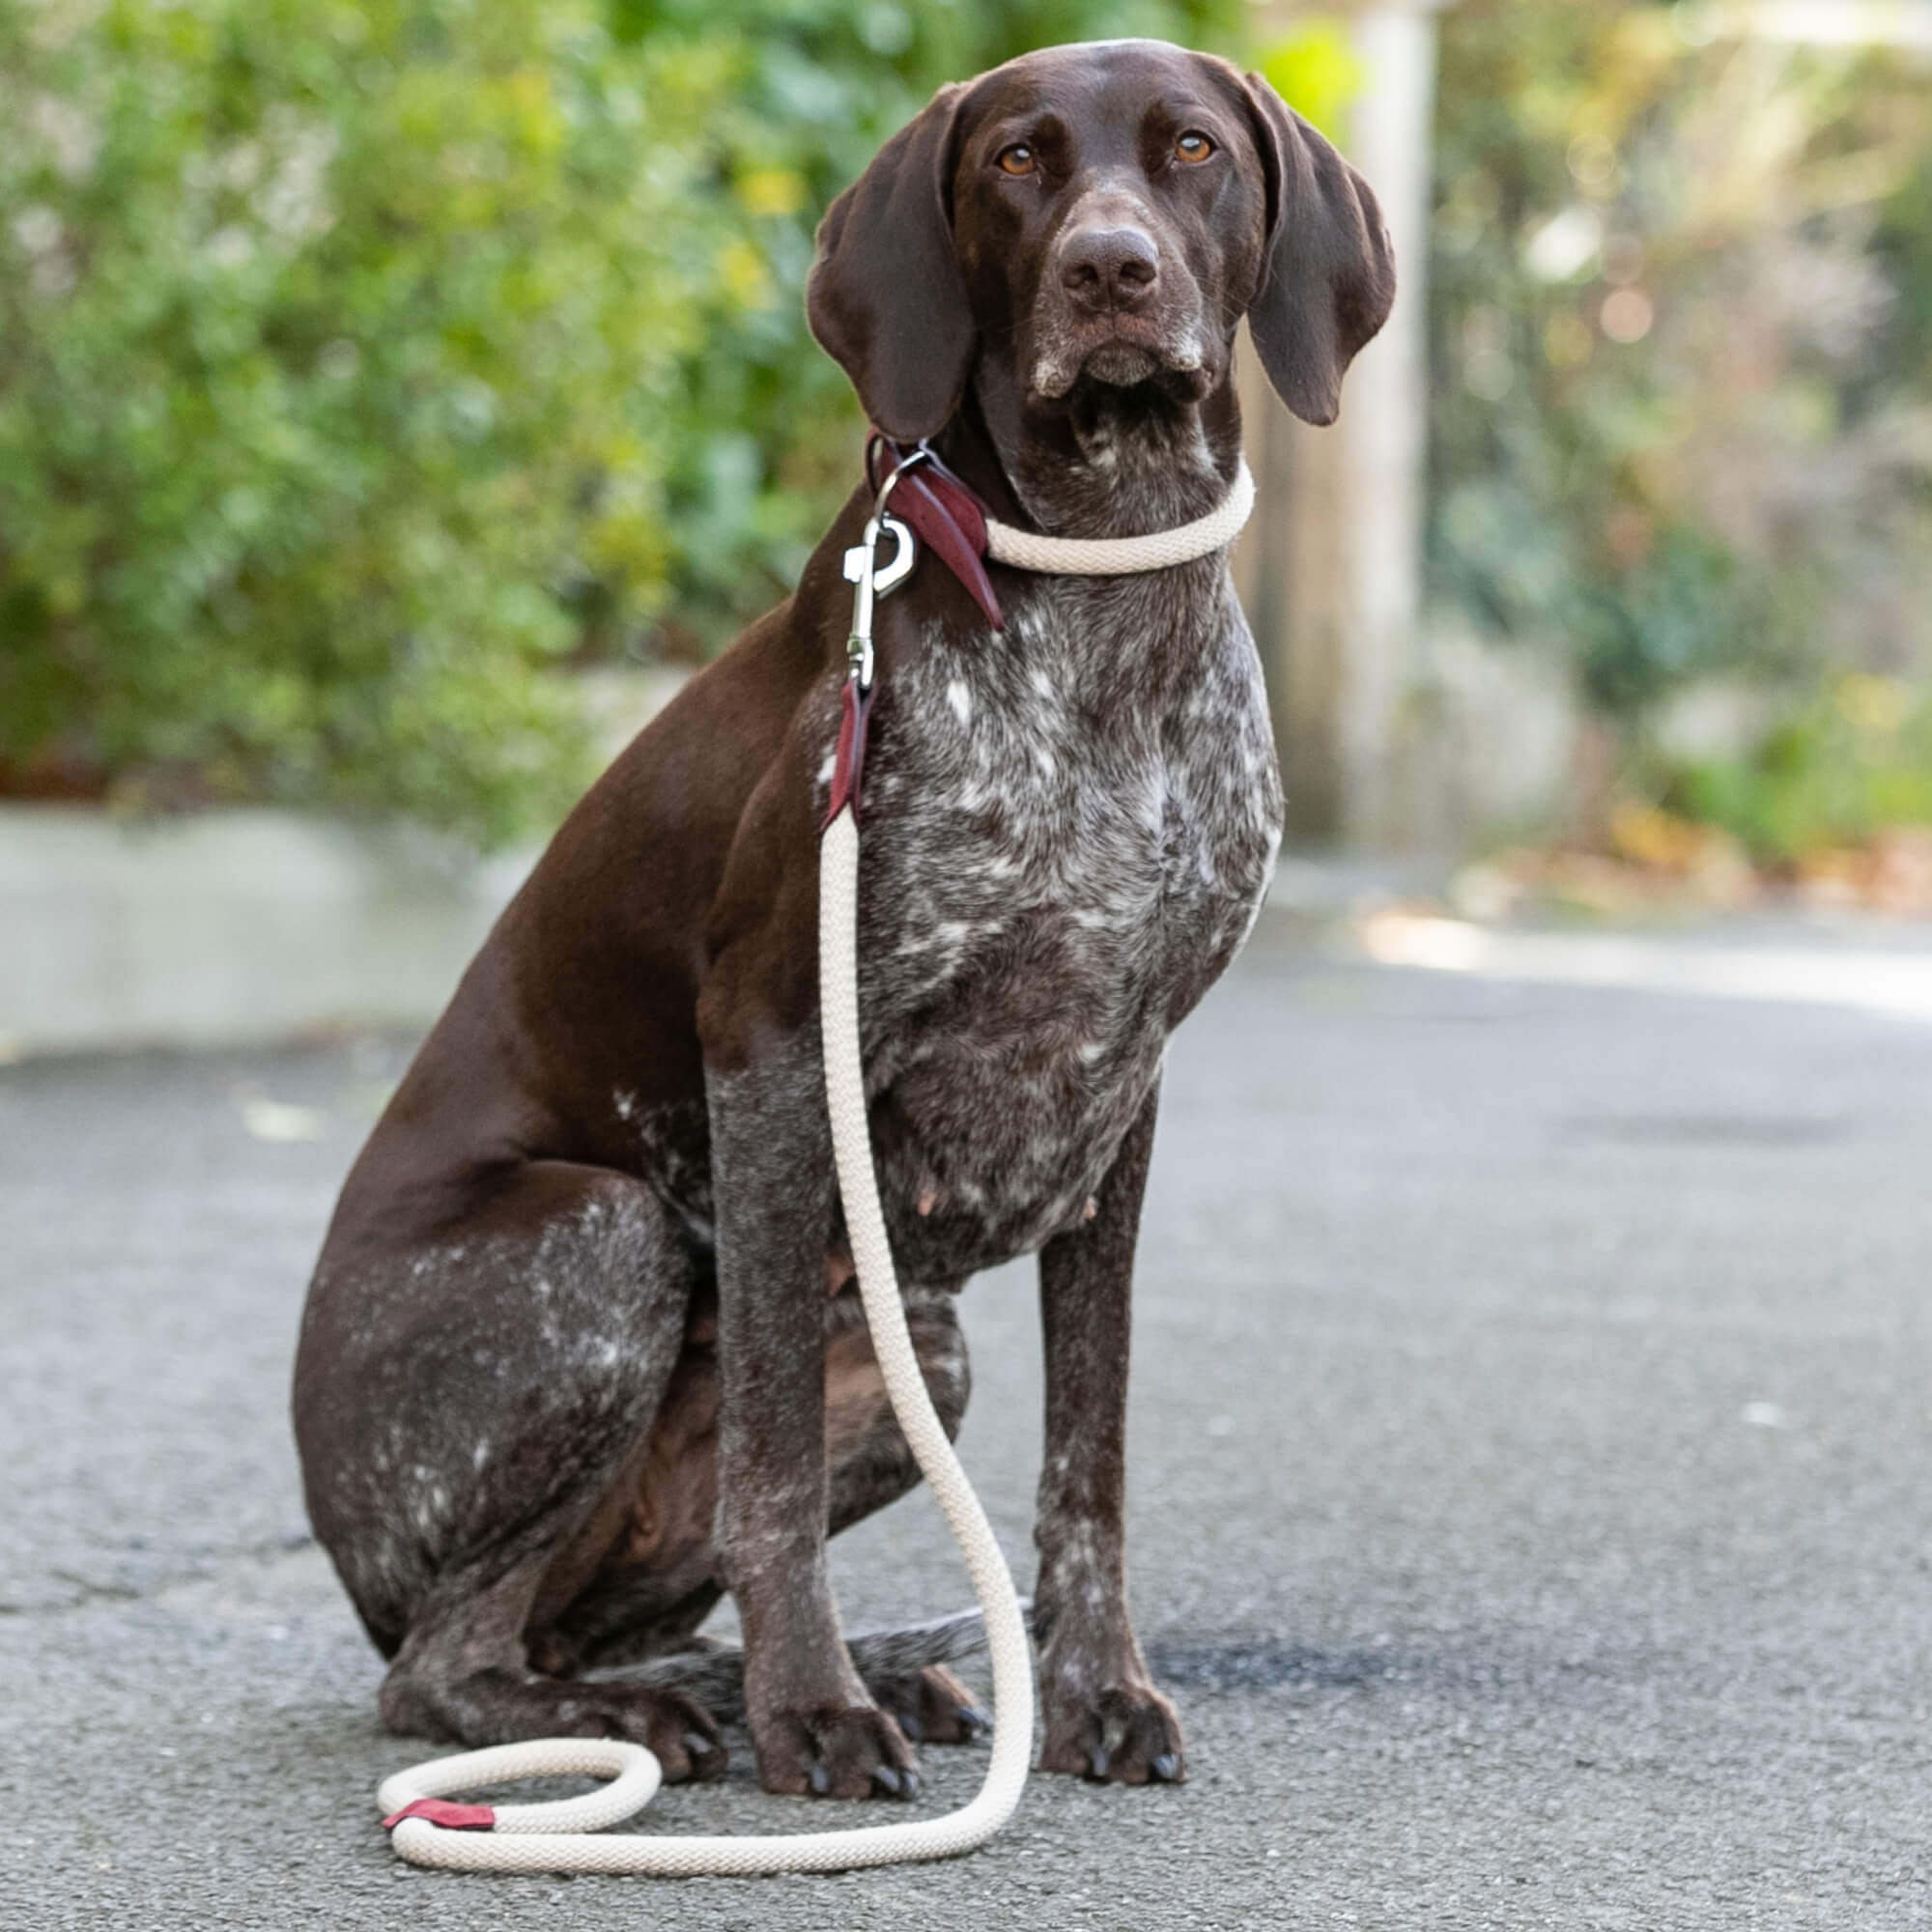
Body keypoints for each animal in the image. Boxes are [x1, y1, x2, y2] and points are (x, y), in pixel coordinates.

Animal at [294, 38, 1391, 1801]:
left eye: (1193, 151)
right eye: (1018, 160)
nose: (1110, 272)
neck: (1095, 589)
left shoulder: (1126, 1094)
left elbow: (1090, 1457)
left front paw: (1089, 1687)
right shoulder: (769, 1044)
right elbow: (772, 1473)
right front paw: (812, 1709)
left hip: (917, 1347)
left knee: (559, 1626)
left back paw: (792, 1680)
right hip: (602, 1239)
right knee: (440, 1666)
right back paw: (675, 1715)